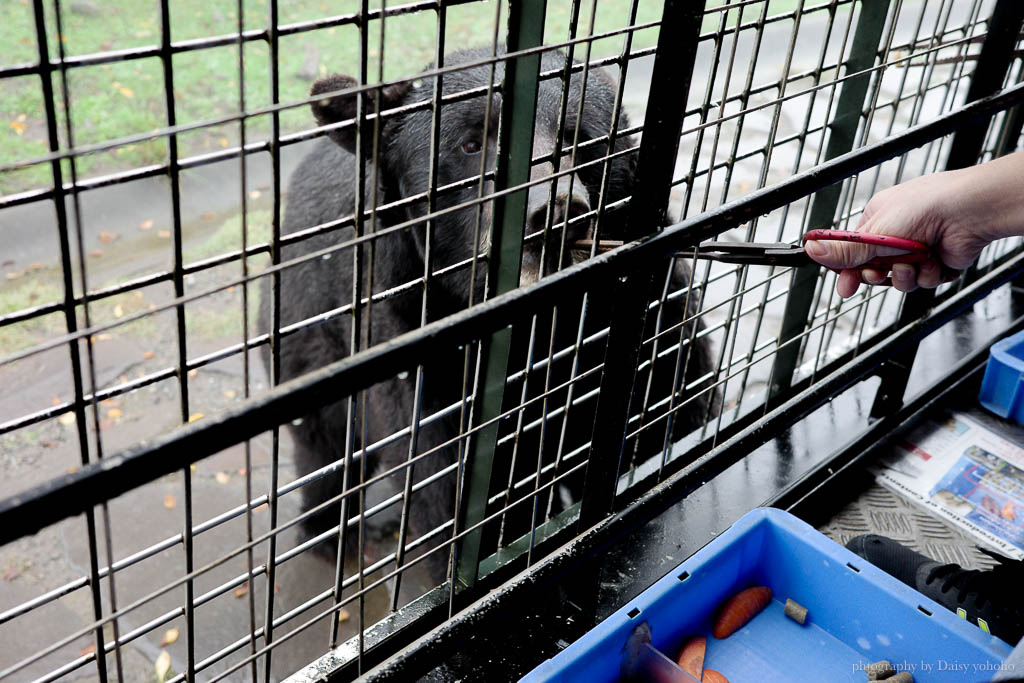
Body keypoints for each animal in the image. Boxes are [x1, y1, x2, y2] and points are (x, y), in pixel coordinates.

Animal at [260, 45, 716, 585]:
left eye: (577, 136)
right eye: (471, 144)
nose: (556, 213)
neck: (545, 329)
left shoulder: (646, 310)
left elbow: (671, 406)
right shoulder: (424, 353)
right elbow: (451, 488)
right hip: (311, 326)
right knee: (325, 445)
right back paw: (337, 538)